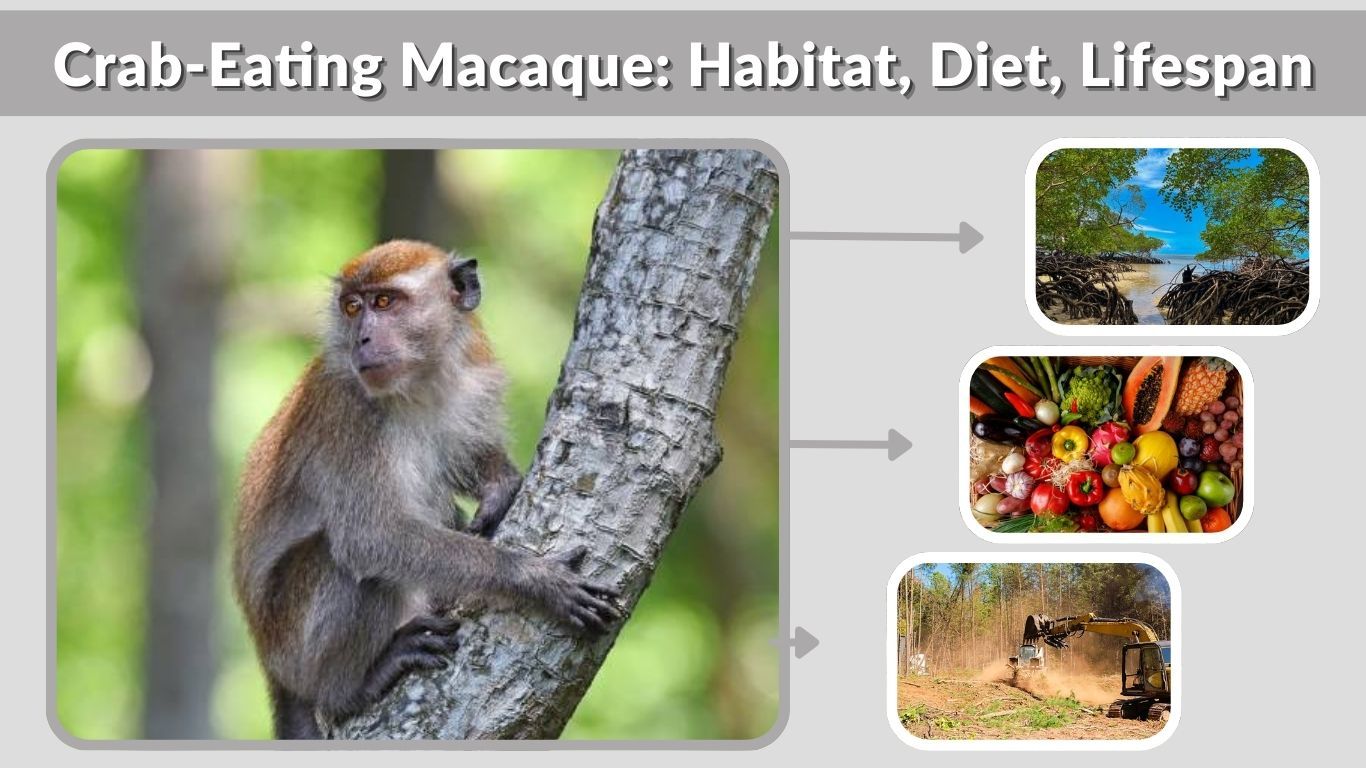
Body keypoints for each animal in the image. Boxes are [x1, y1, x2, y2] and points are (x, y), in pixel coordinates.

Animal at [232, 240, 621, 739]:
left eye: (384, 302)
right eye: (352, 307)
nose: (361, 339)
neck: (415, 389)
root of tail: (269, 663)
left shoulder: (473, 376)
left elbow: (468, 455)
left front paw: (499, 485)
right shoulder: (350, 417)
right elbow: (372, 537)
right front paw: (533, 577)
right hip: (293, 646)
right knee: (345, 562)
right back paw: (349, 690)